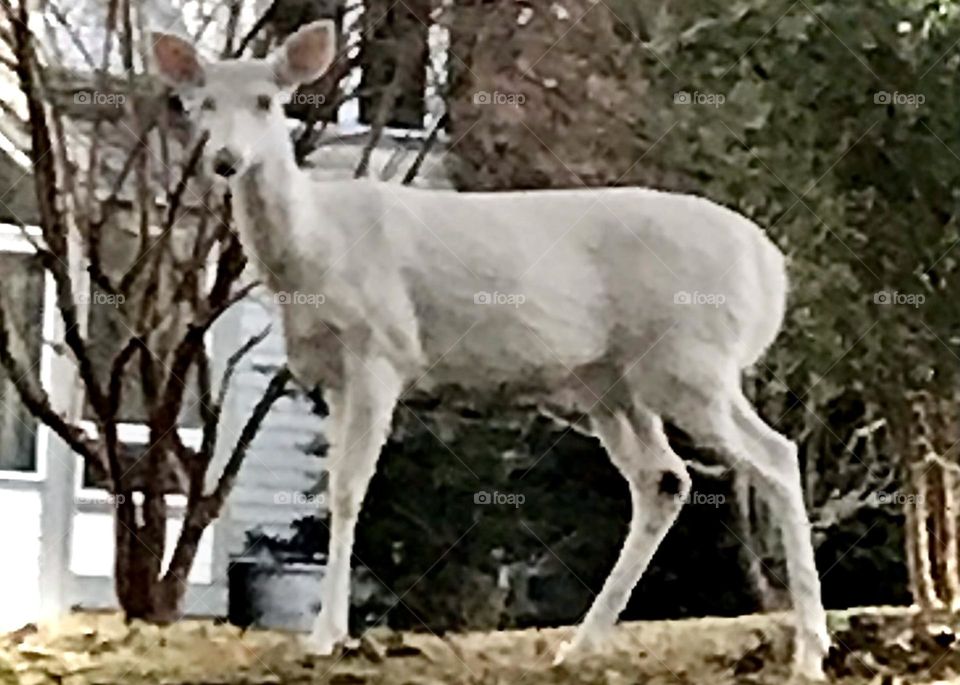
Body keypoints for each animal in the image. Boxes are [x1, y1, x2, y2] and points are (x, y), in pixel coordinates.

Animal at [152, 20, 830, 681]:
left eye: (267, 101)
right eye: (204, 103)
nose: (225, 160)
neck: (316, 248)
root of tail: (771, 268)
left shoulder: (381, 349)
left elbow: (347, 489)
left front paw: (325, 637)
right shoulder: (335, 375)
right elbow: (335, 486)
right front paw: (331, 632)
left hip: (689, 360)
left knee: (775, 454)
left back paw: (809, 652)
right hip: (611, 383)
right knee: (664, 479)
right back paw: (578, 647)